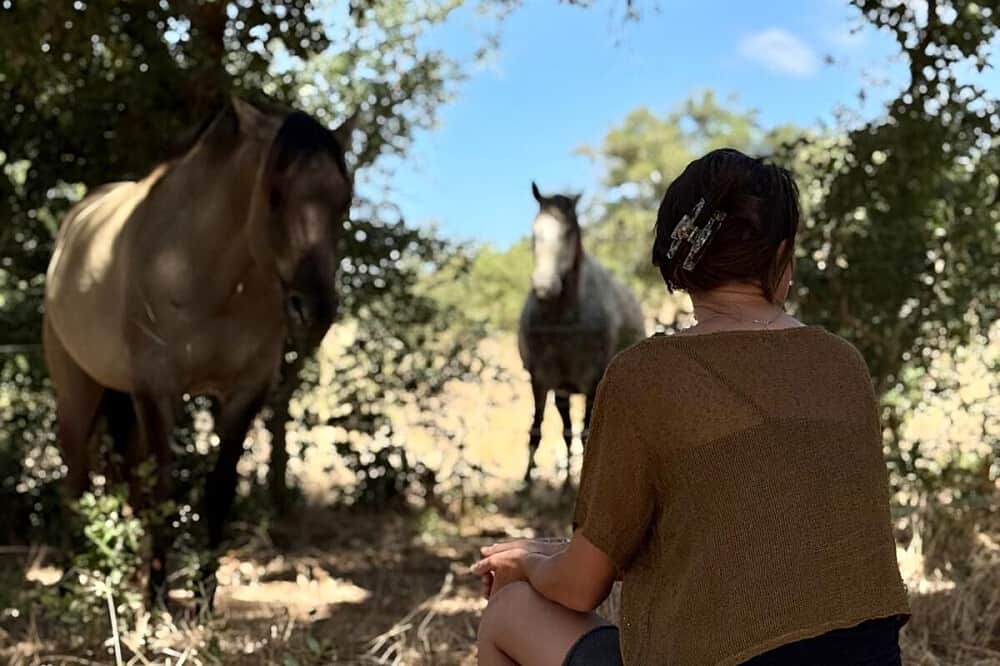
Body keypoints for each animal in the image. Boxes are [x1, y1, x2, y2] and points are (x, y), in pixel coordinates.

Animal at [43, 97, 355, 598]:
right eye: (274, 194)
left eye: (344, 201)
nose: (315, 310)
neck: (211, 278)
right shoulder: (158, 390)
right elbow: (166, 490)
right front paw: (156, 598)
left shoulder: (245, 393)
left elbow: (219, 489)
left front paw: (204, 595)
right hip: (77, 387)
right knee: (76, 472)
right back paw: (73, 580)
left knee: (127, 472)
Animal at [518, 182, 646, 484]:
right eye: (535, 232)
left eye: (569, 232)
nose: (544, 287)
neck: (561, 321)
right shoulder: (540, 380)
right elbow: (537, 430)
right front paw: (527, 480)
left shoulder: (592, 382)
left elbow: (588, 436)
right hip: (562, 390)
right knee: (566, 431)